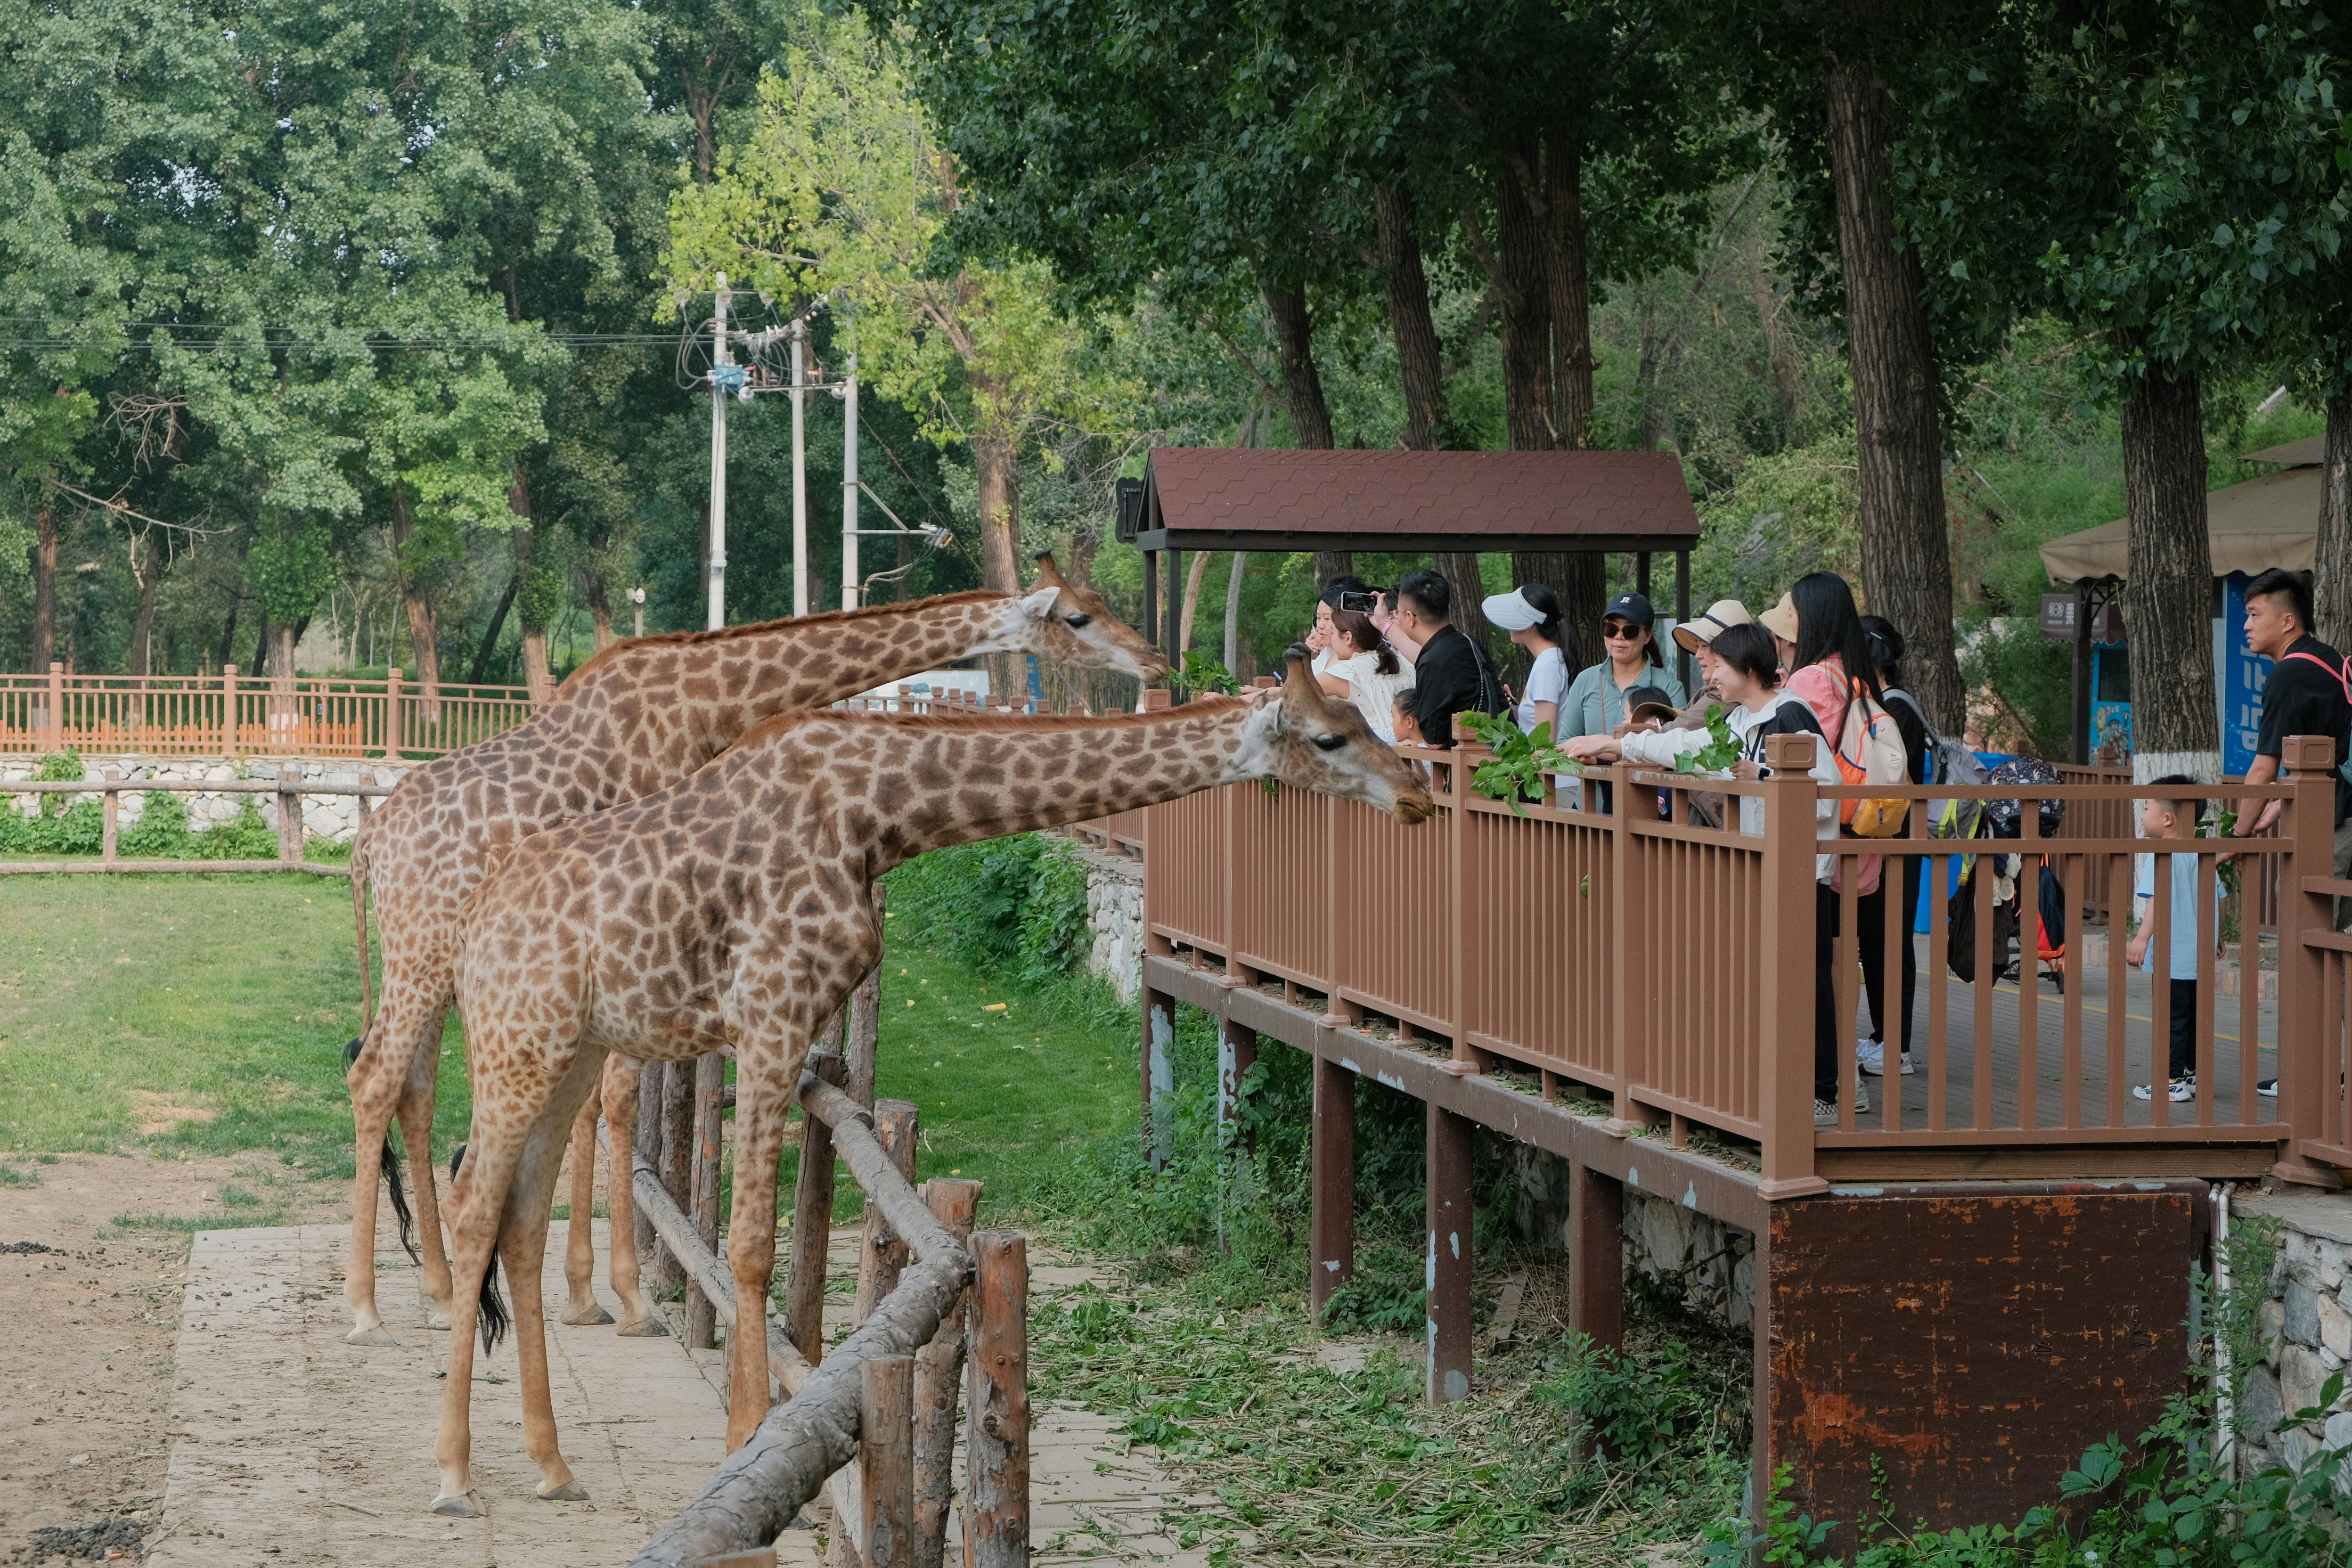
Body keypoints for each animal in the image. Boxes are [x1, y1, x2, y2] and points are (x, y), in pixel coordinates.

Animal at [341, 561, 1165, 1346]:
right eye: (1079, 616)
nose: (1155, 659)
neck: (714, 700)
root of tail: (367, 843)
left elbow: (591, 1107)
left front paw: (583, 1292)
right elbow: (616, 1100)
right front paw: (625, 1299)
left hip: (436, 958)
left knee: (413, 1088)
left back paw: (437, 1290)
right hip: (428, 952)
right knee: (376, 1075)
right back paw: (368, 1311)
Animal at [427, 654, 1430, 1513]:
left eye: (1361, 719)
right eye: (1331, 736)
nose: (1419, 793)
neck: (878, 811)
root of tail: (470, 927)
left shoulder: (781, 1023)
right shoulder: (769, 1012)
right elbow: (750, 1244)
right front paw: (745, 1438)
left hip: (570, 1048)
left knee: (519, 1211)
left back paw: (553, 1465)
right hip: (520, 1038)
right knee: (472, 1202)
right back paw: (454, 1474)